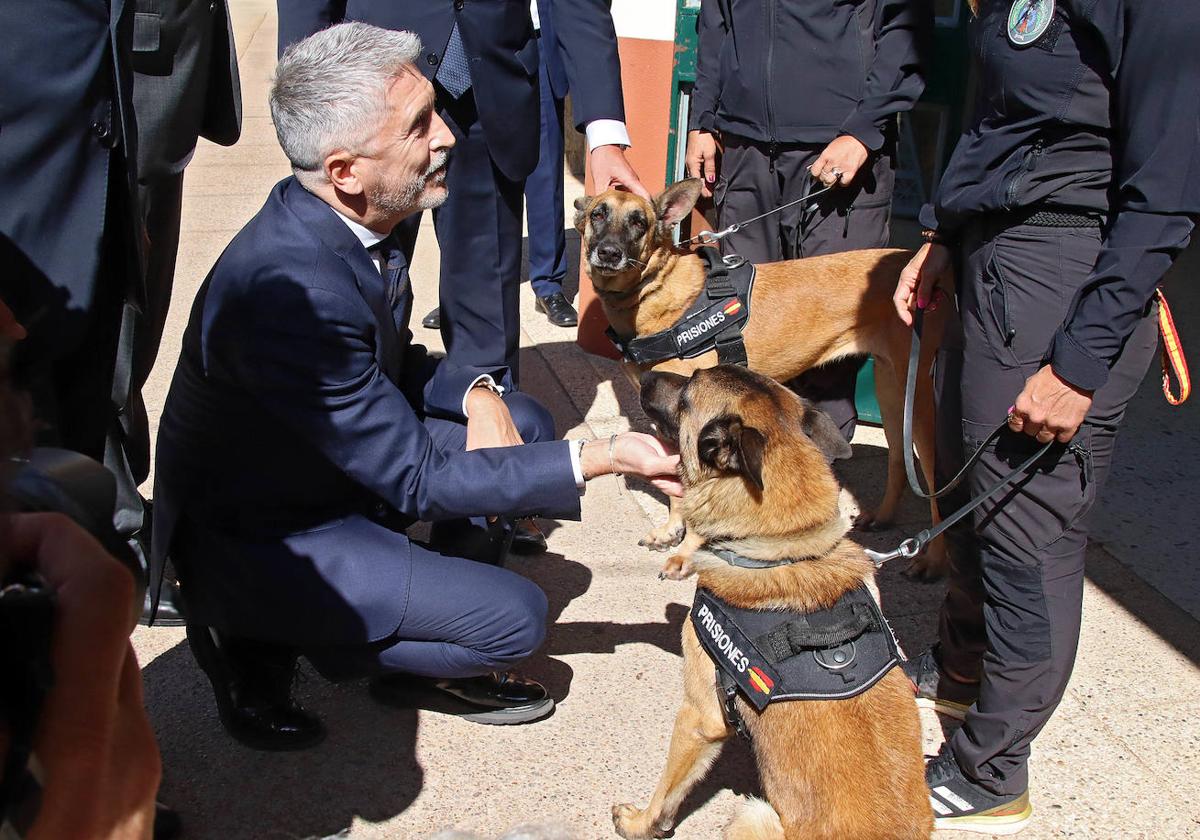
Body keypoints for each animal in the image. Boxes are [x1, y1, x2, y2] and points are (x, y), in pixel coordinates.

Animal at [576, 177, 950, 578]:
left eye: (639, 222)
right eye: (599, 214)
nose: (609, 253)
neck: (656, 295)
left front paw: (688, 550)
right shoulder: (669, 423)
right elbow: (678, 483)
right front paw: (671, 529)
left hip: (918, 400)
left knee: (935, 481)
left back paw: (933, 559)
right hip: (890, 387)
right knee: (898, 459)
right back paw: (884, 516)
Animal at [609, 367, 926, 840]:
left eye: (687, 393)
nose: (644, 373)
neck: (785, 545)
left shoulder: (699, 717)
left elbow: (667, 789)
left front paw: (642, 823)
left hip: (752, 814)